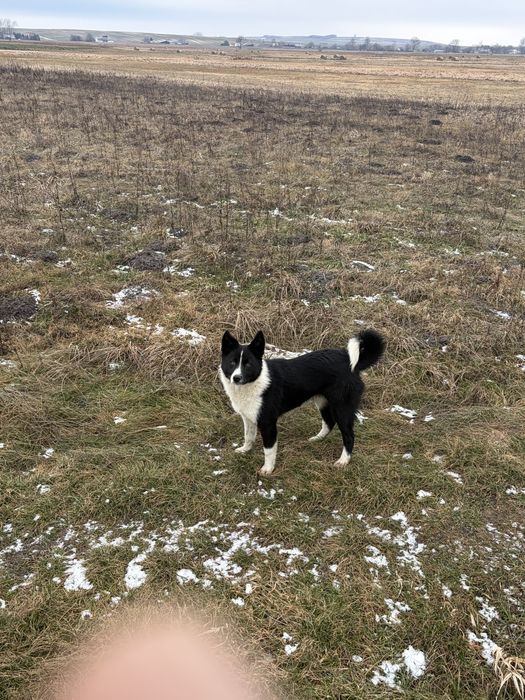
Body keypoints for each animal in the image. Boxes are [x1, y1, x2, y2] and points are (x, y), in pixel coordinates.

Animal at [219, 329, 384, 475]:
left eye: (248, 364)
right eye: (232, 363)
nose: (236, 378)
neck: (256, 381)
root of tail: (350, 362)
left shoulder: (268, 423)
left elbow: (269, 450)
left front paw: (268, 469)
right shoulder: (248, 417)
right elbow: (248, 436)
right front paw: (245, 450)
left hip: (342, 408)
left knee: (349, 436)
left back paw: (343, 461)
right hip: (322, 402)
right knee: (329, 422)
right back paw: (317, 438)